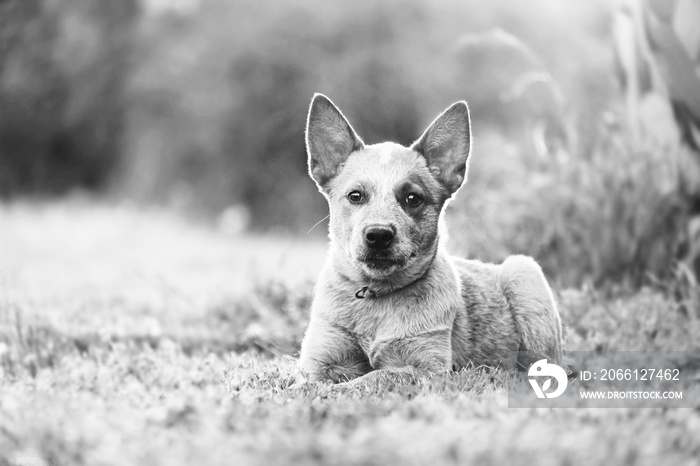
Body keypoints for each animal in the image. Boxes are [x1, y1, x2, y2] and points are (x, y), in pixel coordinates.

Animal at [300, 93, 564, 382]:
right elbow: (311, 383)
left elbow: (374, 376)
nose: (379, 235)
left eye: (412, 198)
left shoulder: (428, 368)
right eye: (355, 195)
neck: (378, 298)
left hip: (524, 272)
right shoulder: (317, 360)